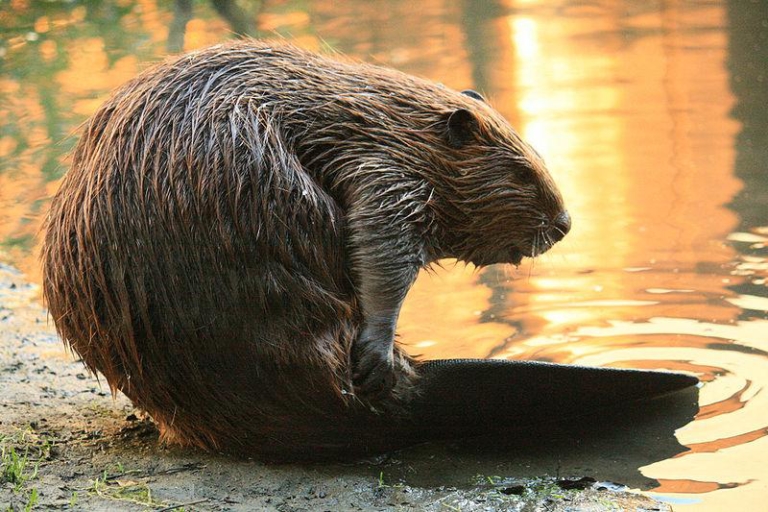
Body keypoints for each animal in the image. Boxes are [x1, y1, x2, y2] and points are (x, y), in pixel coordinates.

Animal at [42, 40, 570, 459]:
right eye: (522, 173)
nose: (564, 225)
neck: (391, 121)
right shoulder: (384, 169)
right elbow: (383, 247)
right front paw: (375, 354)